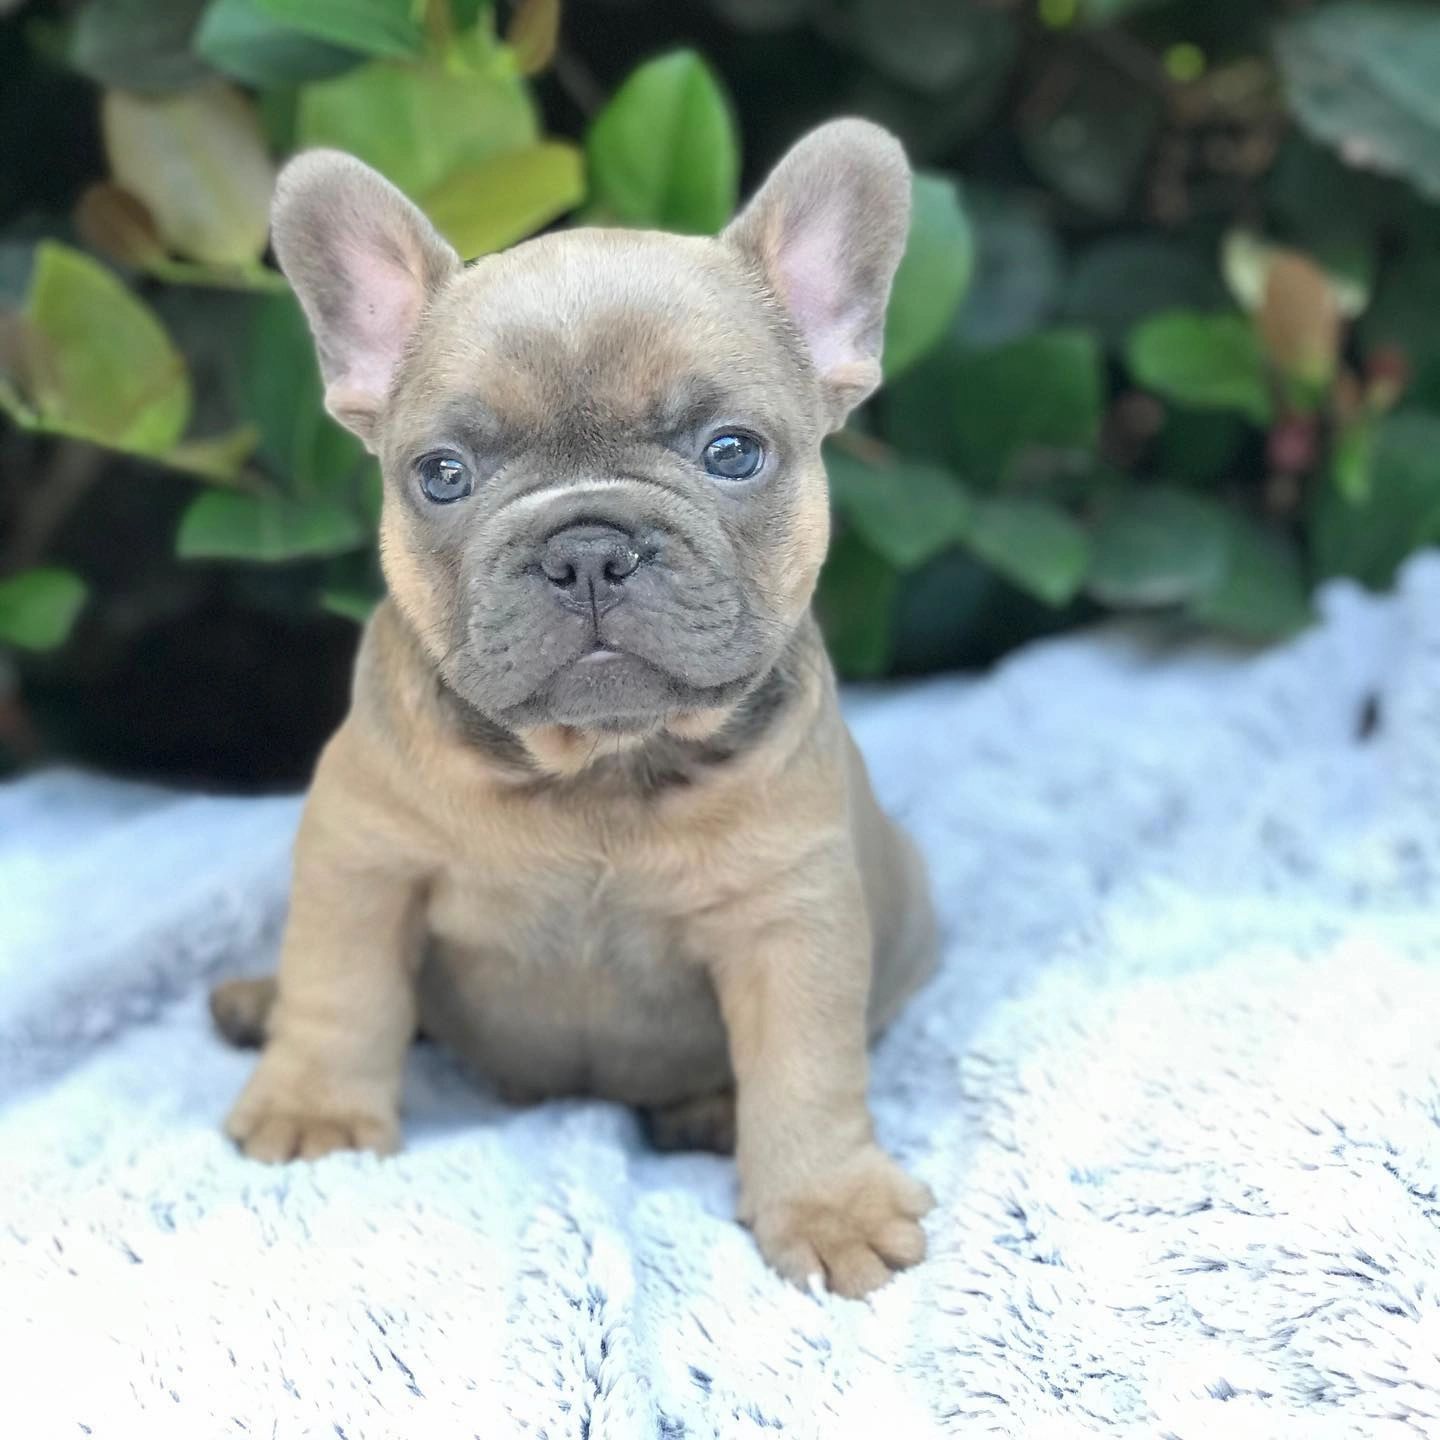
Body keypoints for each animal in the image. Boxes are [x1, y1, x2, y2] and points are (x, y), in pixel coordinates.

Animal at [210, 118, 933, 1301]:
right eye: (442, 475)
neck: (601, 762)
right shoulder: (363, 862)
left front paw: (829, 1205)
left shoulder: (792, 921)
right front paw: (315, 1107)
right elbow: (341, 987)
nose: (588, 547)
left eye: (732, 452)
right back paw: (255, 1003)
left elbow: (807, 1071)